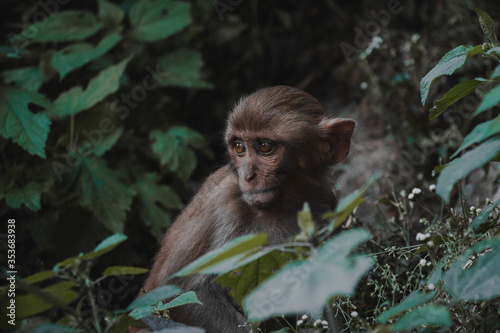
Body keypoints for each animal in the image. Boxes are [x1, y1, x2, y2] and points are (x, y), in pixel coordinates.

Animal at [137, 86, 356, 332]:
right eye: (239, 147)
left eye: (265, 146)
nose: (247, 175)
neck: (281, 203)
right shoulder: (223, 203)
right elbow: (179, 289)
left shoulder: (324, 200)